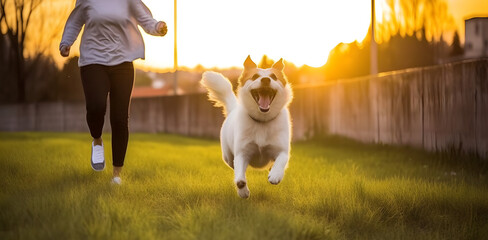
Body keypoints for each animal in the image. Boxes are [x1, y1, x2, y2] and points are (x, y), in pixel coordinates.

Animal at [199, 55, 292, 198]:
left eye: (274, 77)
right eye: (255, 76)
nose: (266, 79)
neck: (262, 121)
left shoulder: (282, 150)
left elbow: (281, 160)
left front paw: (275, 175)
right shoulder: (242, 153)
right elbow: (239, 176)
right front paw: (242, 190)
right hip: (227, 156)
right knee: (233, 164)